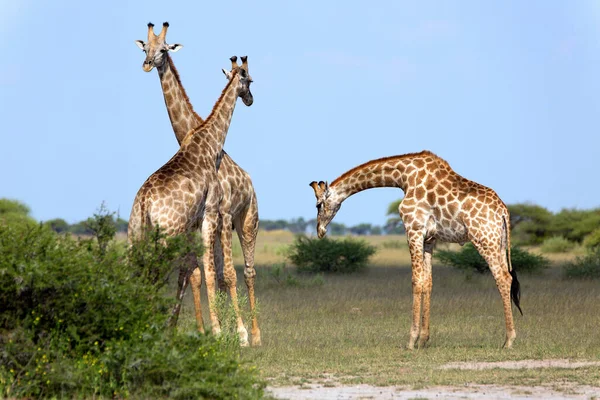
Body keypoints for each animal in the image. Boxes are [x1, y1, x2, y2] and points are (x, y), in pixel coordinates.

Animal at [134, 22, 260, 346]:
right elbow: (199, 273)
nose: (147, 64)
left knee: (247, 271)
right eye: (145, 48)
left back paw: (255, 334)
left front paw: (225, 331)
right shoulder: (207, 218)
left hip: (246, 220)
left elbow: (214, 273)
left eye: (163, 49)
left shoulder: (217, 215)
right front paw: (213, 331)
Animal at [312, 152, 524, 348]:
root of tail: (503, 211)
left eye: (318, 204)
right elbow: (427, 282)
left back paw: (509, 340)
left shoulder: (413, 229)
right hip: (499, 242)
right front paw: (424, 339)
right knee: (507, 277)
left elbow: (416, 281)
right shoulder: (429, 239)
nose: (320, 230)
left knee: (503, 278)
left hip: (484, 239)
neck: (403, 177)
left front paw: (411, 340)